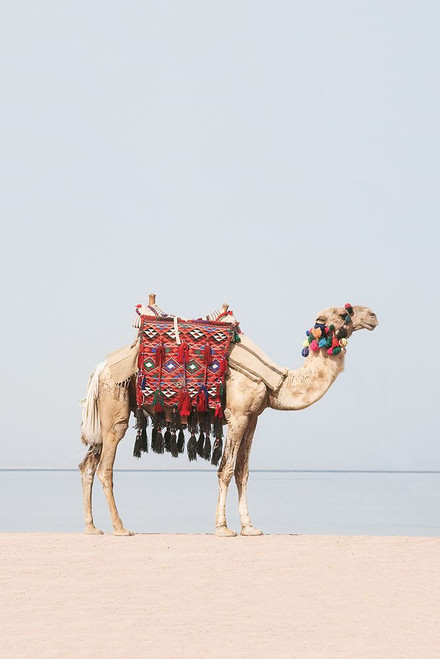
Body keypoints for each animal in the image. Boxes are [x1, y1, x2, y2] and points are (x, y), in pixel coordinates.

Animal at [79, 302, 378, 536]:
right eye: (344, 312)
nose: (373, 315)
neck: (277, 383)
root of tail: (100, 368)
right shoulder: (237, 414)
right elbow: (225, 469)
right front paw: (223, 527)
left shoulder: (253, 417)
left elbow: (242, 472)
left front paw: (249, 527)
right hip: (115, 403)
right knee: (106, 466)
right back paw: (120, 527)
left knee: (88, 465)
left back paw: (92, 527)